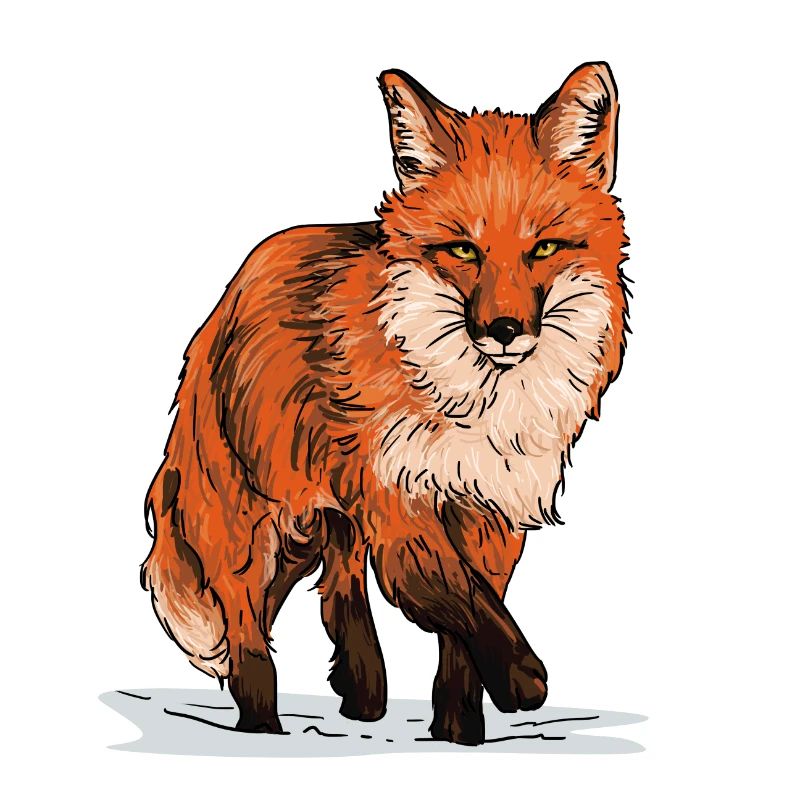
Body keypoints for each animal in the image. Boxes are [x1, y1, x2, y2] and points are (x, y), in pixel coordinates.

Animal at [141, 62, 629, 745]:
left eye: (543, 249)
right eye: (463, 250)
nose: (505, 330)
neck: (471, 407)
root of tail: (228, 293)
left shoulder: (490, 510)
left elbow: (466, 632)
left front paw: (459, 732)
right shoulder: (400, 500)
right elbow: (465, 602)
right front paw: (522, 681)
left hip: (325, 517)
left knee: (336, 590)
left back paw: (361, 693)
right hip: (256, 521)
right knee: (247, 628)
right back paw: (263, 727)